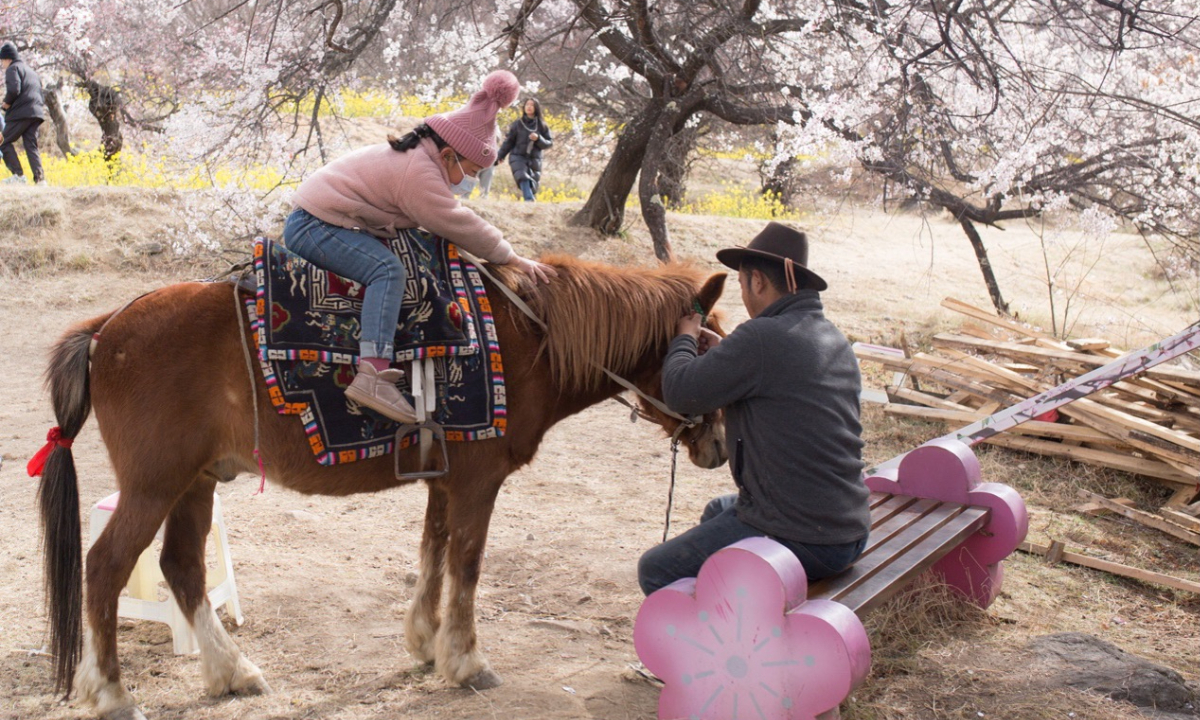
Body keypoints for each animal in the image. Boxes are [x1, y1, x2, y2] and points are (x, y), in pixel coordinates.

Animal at [37, 255, 724, 715]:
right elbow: (467, 564)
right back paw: (111, 692)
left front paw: (424, 641)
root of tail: (107, 328)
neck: (528, 337)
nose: (718, 446)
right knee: (105, 567)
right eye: (706, 346)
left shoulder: (445, 481)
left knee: (182, 567)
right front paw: (466, 660)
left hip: (195, 484)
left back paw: (233, 672)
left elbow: (433, 552)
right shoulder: (479, 482)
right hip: (154, 487)